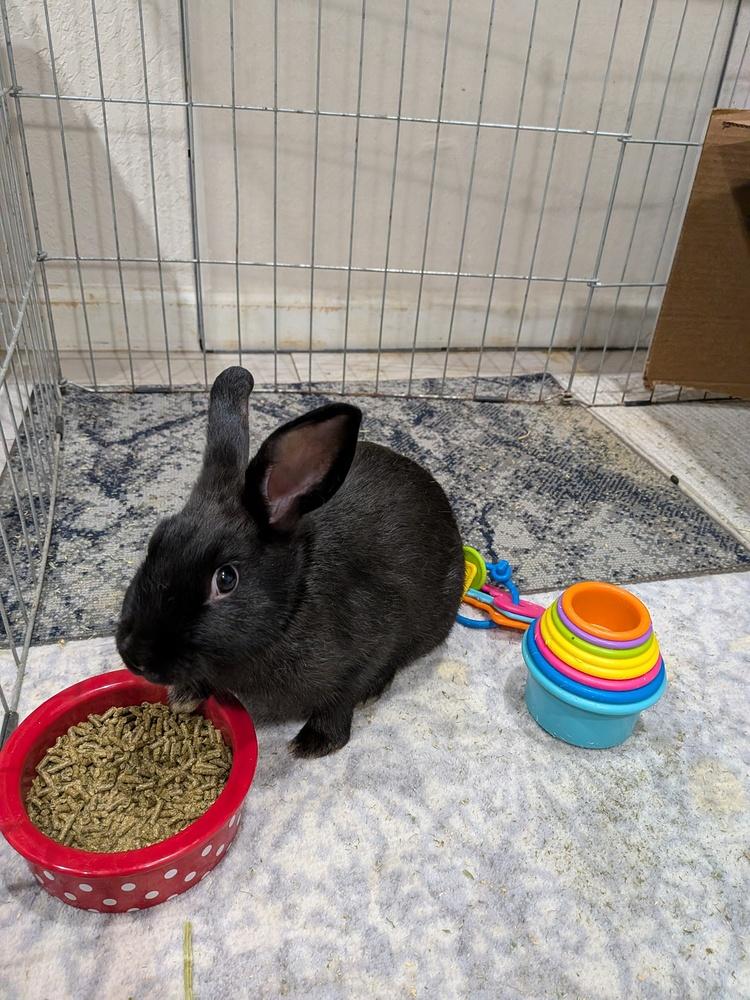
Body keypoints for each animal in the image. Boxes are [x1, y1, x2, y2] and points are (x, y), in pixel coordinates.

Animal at [116, 366, 465, 757]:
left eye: (226, 579)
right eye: (156, 541)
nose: (135, 656)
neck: (292, 602)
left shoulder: (373, 641)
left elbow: (342, 696)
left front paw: (315, 742)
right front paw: (184, 697)